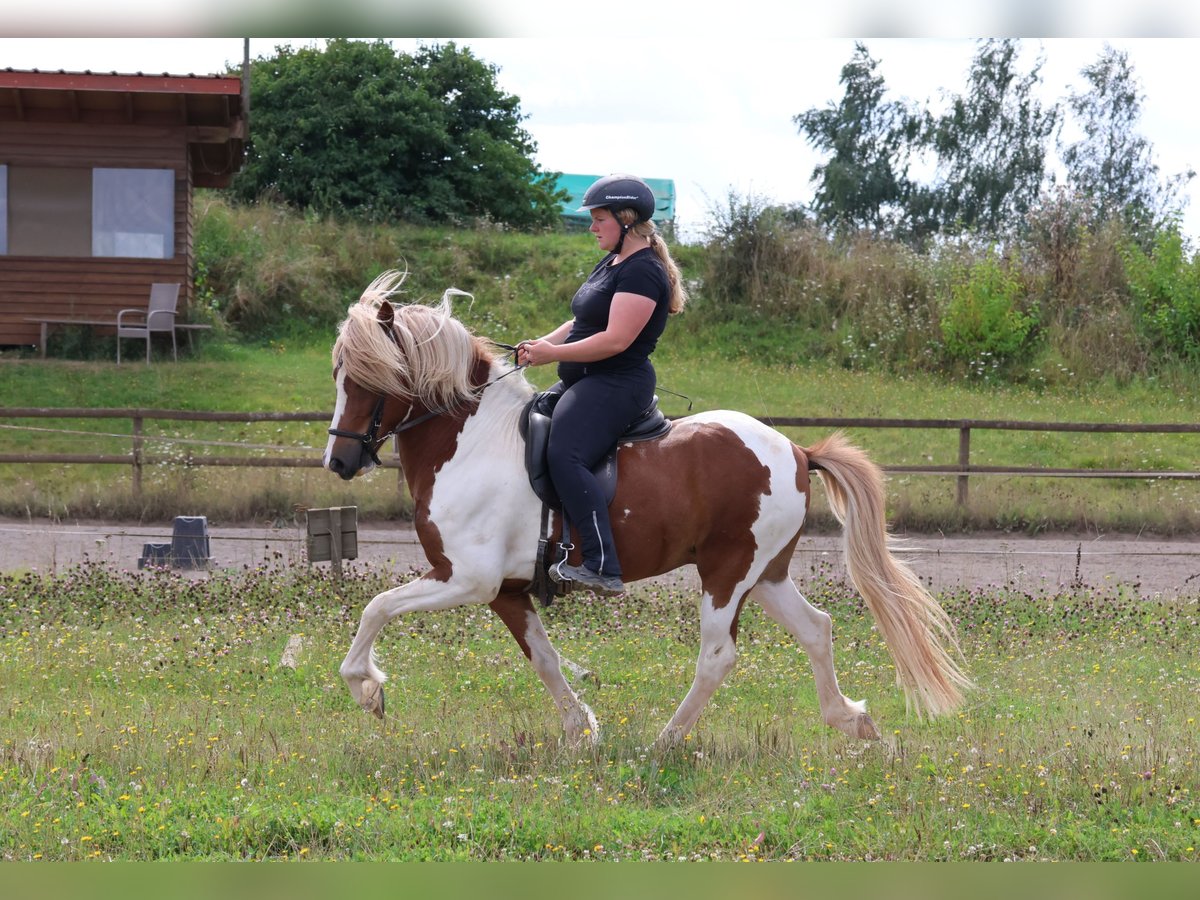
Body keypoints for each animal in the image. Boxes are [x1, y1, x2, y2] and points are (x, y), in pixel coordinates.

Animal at [324, 271, 969, 748]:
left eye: (364, 377)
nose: (339, 460)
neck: (473, 440)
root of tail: (794, 450)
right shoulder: (505, 590)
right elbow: (545, 660)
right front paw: (581, 731)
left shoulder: (465, 578)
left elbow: (377, 607)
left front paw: (367, 688)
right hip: (766, 573)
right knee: (817, 629)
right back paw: (851, 720)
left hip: (727, 572)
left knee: (718, 656)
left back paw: (665, 742)